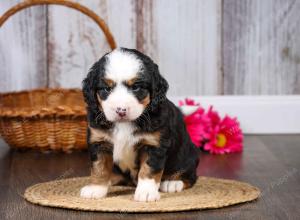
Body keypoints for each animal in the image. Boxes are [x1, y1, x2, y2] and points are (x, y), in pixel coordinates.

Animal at [79, 47, 199, 201]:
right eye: (106, 89)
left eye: (136, 87)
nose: (121, 110)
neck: (124, 124)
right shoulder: (99, 141)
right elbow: (99, 167)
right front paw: (96, 188)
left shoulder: (153, 144)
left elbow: (148, 170)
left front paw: (146, 192)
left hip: (188, 154)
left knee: (190, 175)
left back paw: (173, 183)